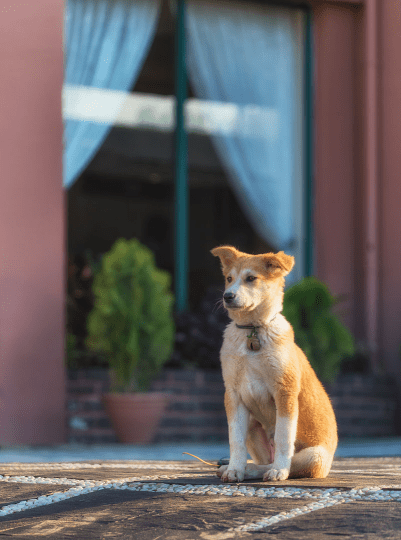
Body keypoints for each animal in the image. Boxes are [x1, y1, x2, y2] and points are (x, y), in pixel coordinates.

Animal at [211, 245, 336, 480]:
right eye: (229, 278)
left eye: (251, 278)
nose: (227, 296)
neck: (252, 331)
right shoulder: (233, 395)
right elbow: (235, 440)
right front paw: (234, 469)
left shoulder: (285, 391)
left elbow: (283, 437)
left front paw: (279, 469)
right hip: (252, 424)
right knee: (263, 460)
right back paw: (243, 468)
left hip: (315, 456)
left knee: (286, 463)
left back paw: (272, 469)